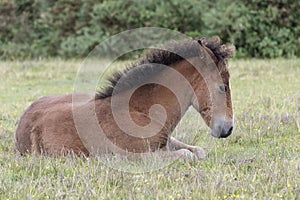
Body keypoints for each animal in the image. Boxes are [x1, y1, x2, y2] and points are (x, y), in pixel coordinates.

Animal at [14, 36, 234, 159]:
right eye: (222, 87)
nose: (228, 129)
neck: (140, 110)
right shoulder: (133, 156)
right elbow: (187, 155)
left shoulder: (166, 141)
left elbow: (198, 151)